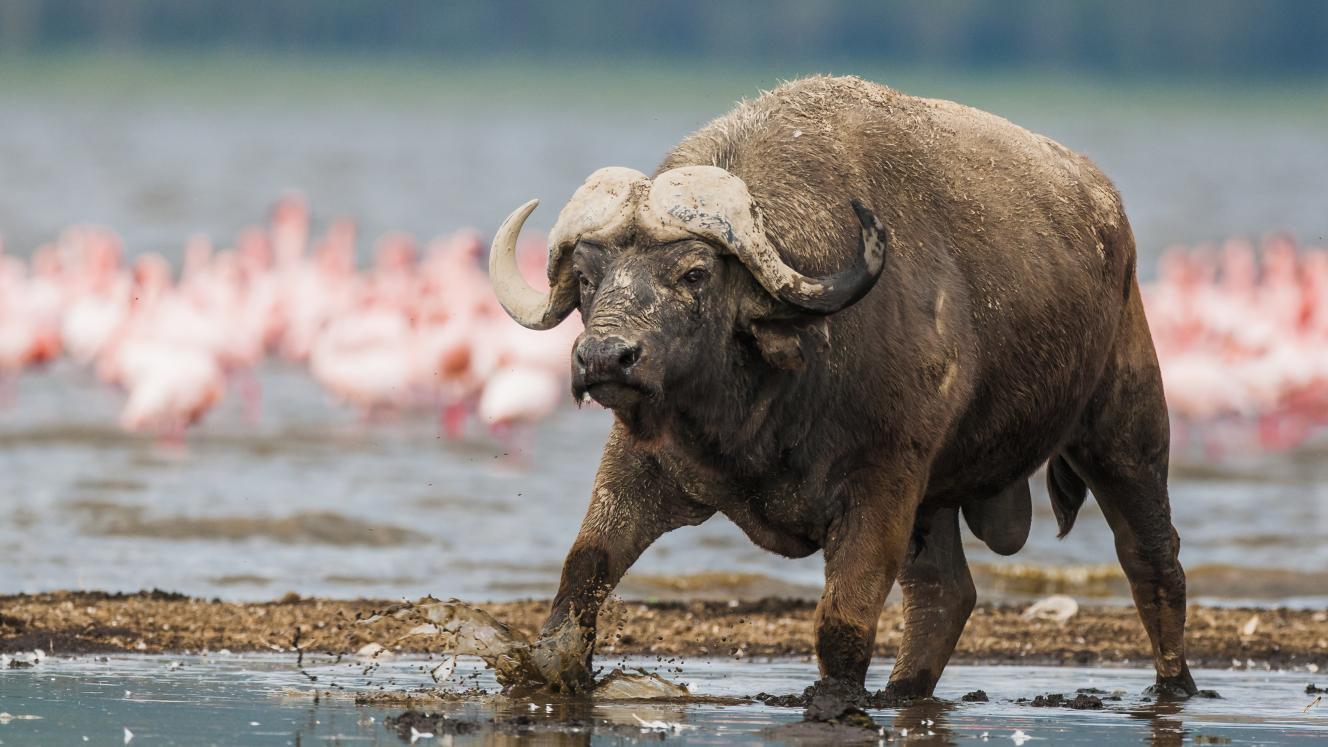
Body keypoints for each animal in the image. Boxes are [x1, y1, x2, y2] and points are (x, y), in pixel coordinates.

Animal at [486, 75, 1196, 718]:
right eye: (586, 278)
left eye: (693, 273)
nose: (604, 358)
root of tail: (1108, 213)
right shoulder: (643, 463)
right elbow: (585, 565)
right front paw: (550, 667)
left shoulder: (881, 482)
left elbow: (845, 612)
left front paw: (833, 698)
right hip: (937, 497)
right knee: (946, 592)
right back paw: (905, 692)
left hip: (1125, 428)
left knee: (1152, 559)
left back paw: (1175, 685)